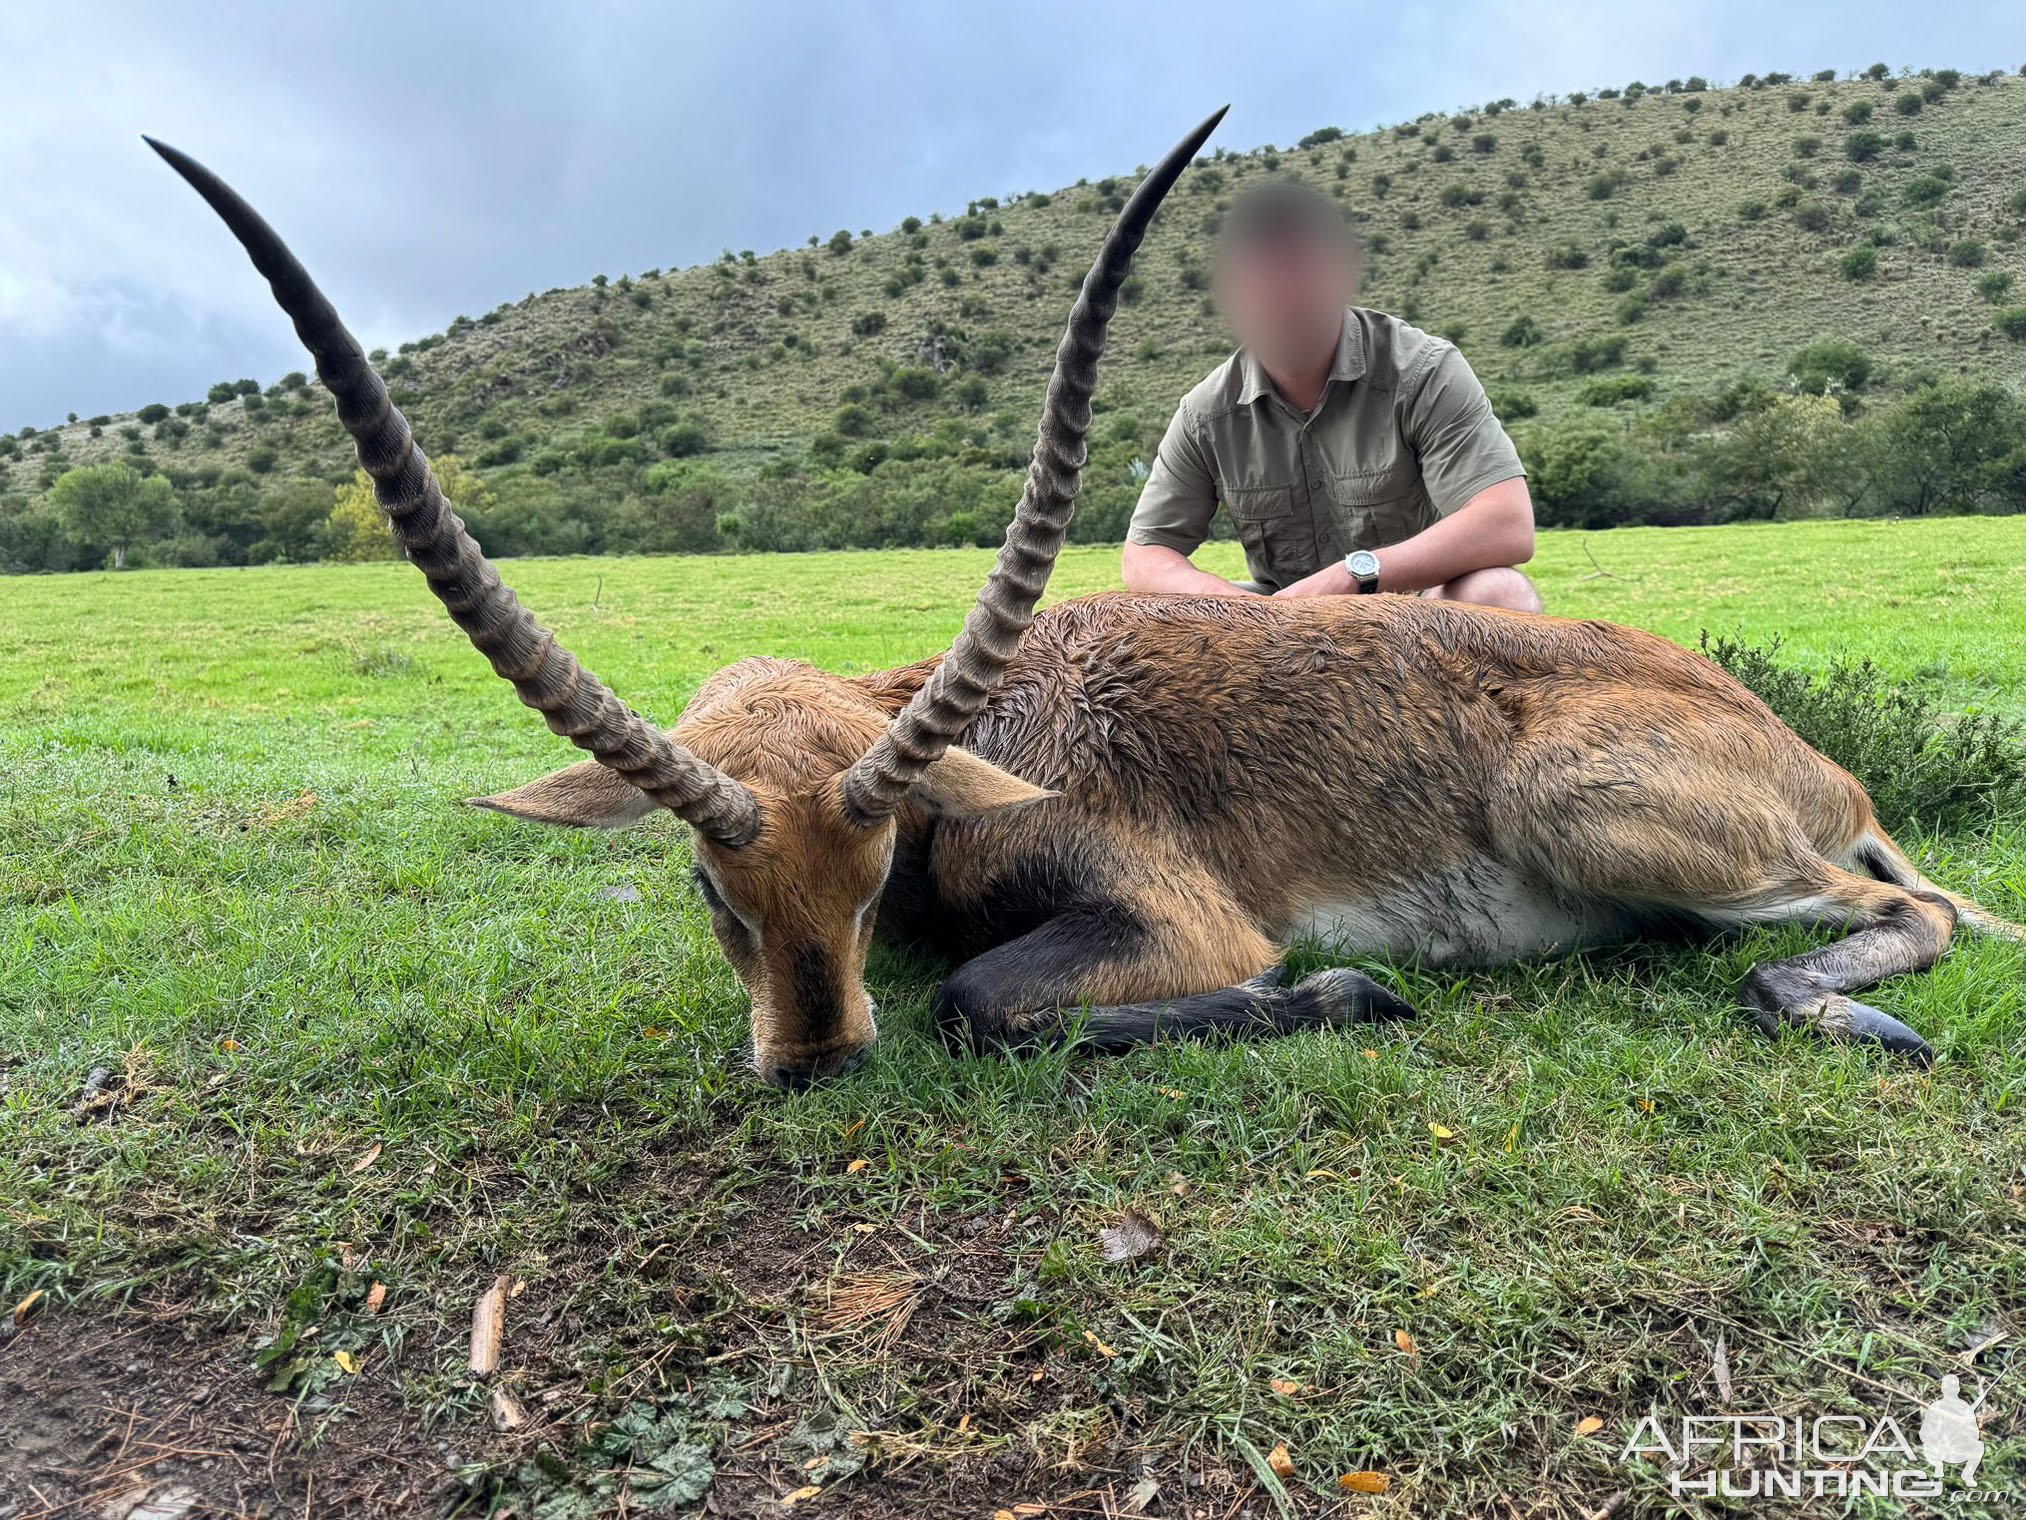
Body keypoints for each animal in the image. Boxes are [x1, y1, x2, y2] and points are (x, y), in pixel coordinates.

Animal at [158, 116, 2026, 1094]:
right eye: (706, 877)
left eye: (875, 866)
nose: (816, 1054)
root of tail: (1803, 752)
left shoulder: (1176, 921)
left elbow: (986, 1002)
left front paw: (1339, 996)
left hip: (1602, 818)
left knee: (1916, 906)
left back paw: (1844, 1008)